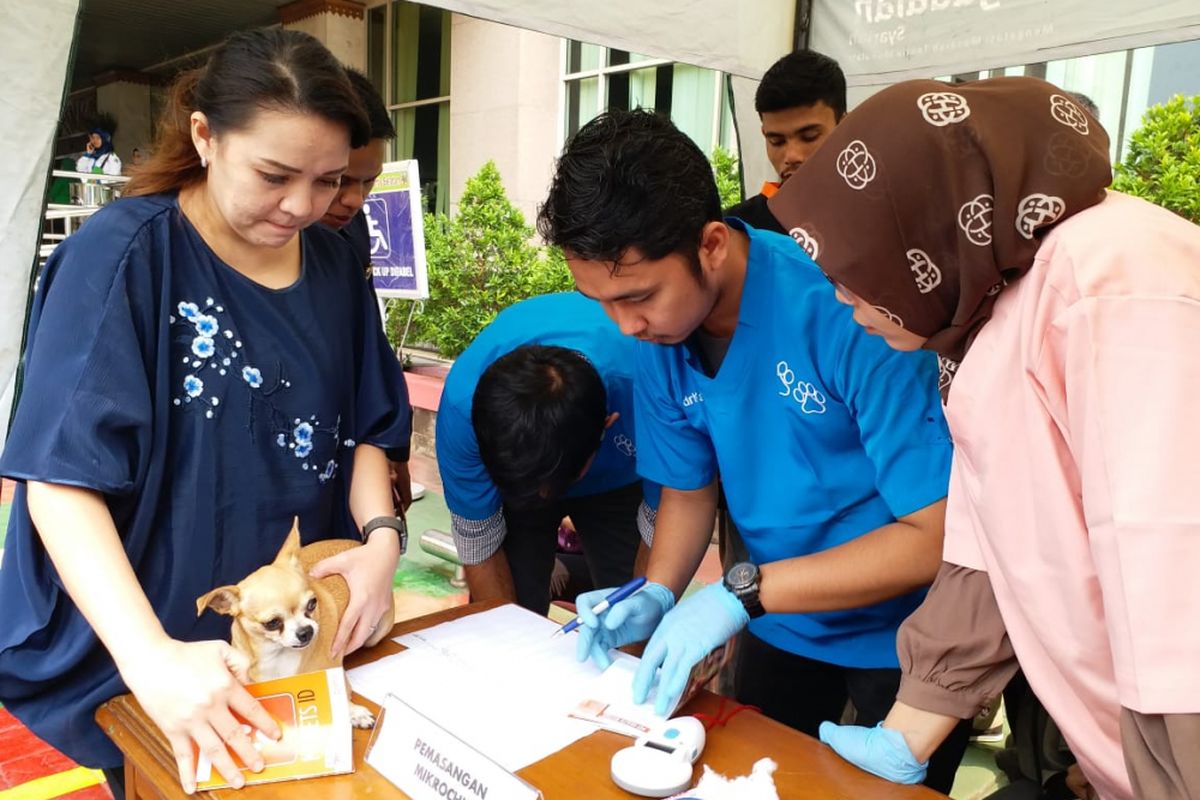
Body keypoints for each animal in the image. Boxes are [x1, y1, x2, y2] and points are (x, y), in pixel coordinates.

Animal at [195, 515, 393, 729]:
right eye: (272, 623)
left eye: (312, 604)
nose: (306, 631)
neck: (276, 653)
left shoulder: (333, 670)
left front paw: (354, 712)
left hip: (376, 632)